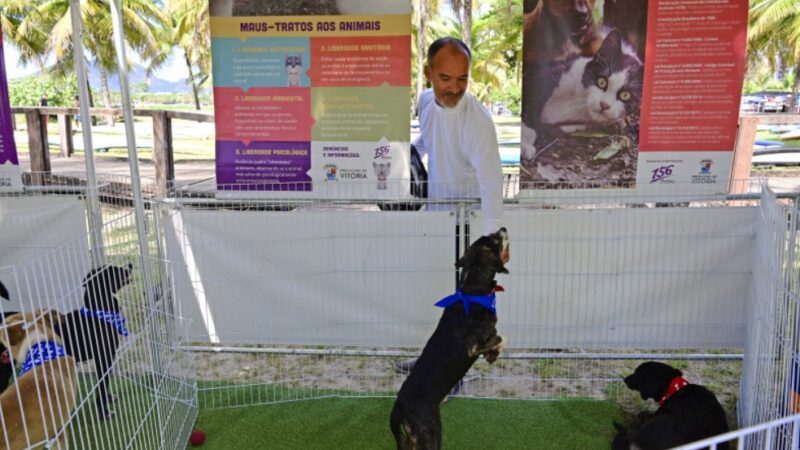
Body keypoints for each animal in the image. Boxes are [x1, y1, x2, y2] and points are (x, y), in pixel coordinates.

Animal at [390, 229, 510, 450]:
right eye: (495, 238)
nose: (504, 228)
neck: (473, 291)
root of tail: (398, 409)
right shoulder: (473, 345)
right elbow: (499, 335)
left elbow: (498, 342)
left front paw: (494, 354)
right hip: (431, 434)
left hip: (410, 440)